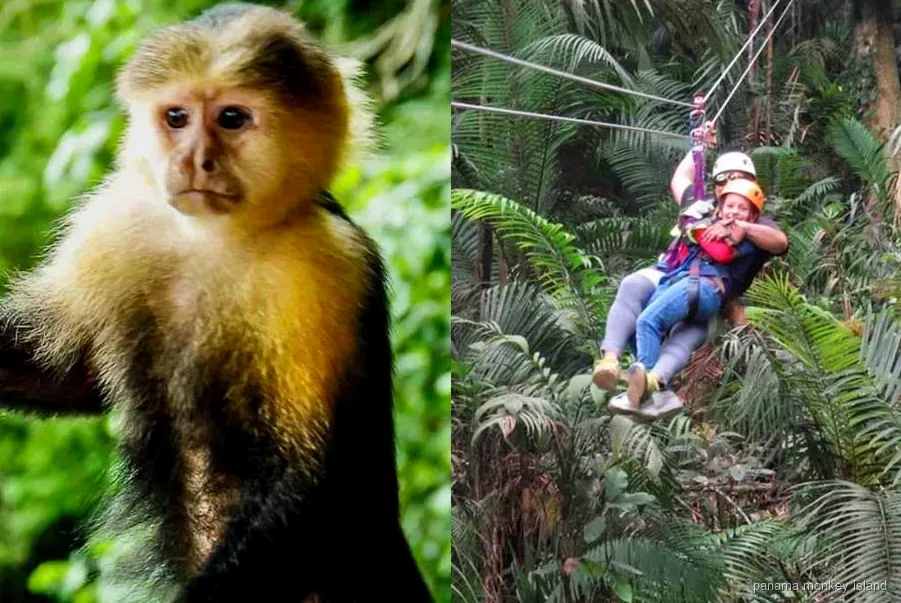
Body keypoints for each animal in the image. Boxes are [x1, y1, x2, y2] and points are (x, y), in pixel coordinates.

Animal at [0, 3, 434, 602]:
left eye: (231, 118)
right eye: (176, 117)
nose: (194, 161)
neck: (216, 239)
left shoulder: (328, 264)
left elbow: (319, 481)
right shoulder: (118, 217)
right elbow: (69, 371)